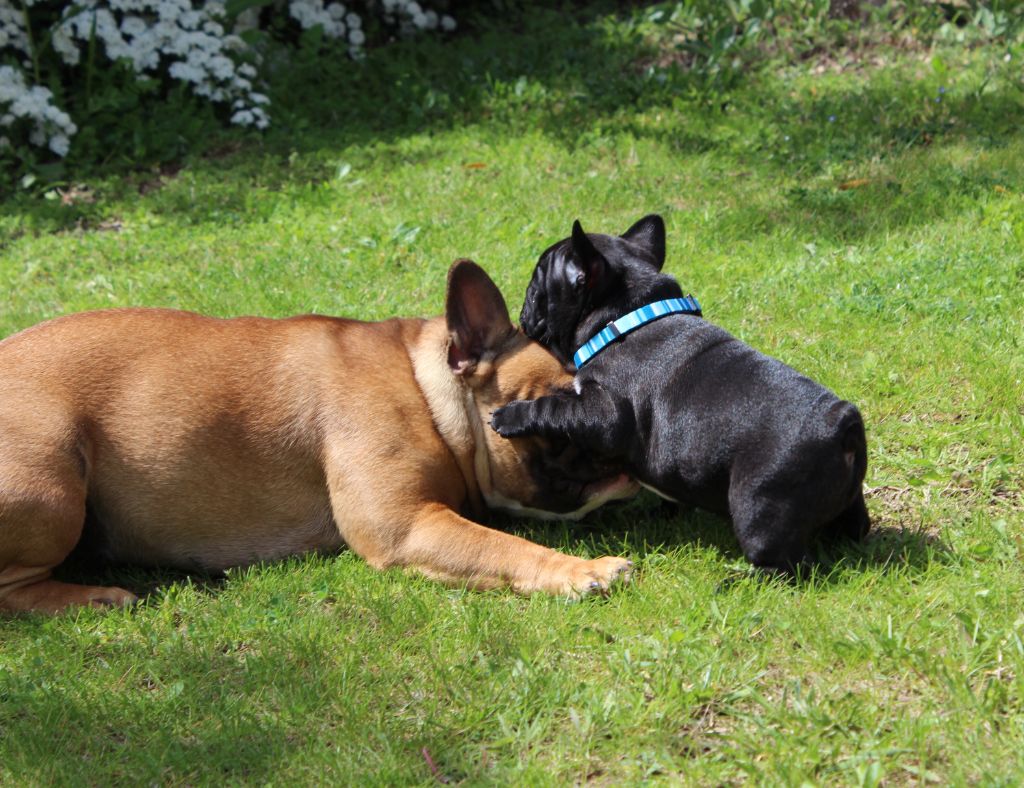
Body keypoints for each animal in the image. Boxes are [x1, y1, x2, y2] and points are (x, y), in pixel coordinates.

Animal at [0, 260, 634, 609]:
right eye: (561, 406)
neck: (427, 390)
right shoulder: (406, 526)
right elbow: (503, 547)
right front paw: (584, 571)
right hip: (51, 487)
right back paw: (94, 598)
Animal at [491, 214, 868, 573]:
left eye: (537, 287)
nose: (523, 305)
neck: (624, 317)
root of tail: (842, 426)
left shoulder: (604, 413)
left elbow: (556, 407)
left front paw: (510, 415)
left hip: (761, 504)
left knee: (788, 564)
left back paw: (737, 578)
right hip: (844, 502)